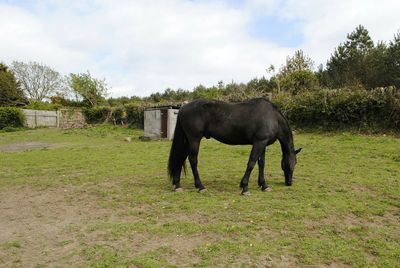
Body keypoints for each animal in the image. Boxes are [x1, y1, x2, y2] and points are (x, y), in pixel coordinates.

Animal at [167, 97, 302, 194]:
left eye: (296, 163)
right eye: (292, 163)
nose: (289, 183)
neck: (272, 117)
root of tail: (183, 107)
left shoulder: (263, 144)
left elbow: (261, 164)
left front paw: (263, 185)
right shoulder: (259, 143)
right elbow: (251, 163)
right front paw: (245, 187)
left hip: (188, 141)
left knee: (180, 158)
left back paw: (177, 185)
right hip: (194, 139)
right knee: (193, 160)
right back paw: (200, 186)